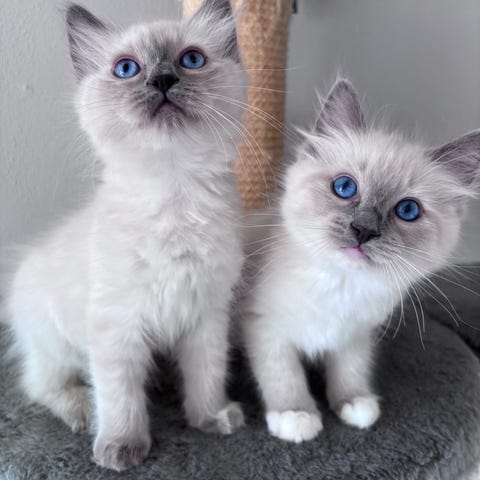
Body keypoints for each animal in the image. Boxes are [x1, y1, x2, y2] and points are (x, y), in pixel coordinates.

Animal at [6, 0, 247, 471]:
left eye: (191, 60)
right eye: (127, 69)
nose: (162, 80)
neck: (174, 192)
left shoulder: (206, 315)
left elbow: (207, 376)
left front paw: (210, 419)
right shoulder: (117, 326)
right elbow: (120, 397)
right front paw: (120, 448)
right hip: (57, 345)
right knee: (42, 385)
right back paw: (83, 411)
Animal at [240, 79, 480, 443]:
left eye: (407, 210)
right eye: (344, 187)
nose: (363, 230)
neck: (342, 285)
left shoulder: (356, 334)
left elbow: (351, 369)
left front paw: (355, 405)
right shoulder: (266, 327)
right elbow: (283, 375)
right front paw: (296, 416)